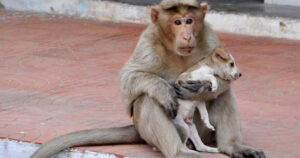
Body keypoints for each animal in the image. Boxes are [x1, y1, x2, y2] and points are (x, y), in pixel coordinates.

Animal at [31, 0, 266, 157]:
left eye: (190, 20)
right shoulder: (148, 40)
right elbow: (130, 78)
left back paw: (230, 146)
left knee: (223, 95)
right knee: (148, 99)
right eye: (177, 22)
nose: (187, 35)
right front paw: (165, 89)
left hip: (198, 130)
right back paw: (179, 151)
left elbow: (222, 84)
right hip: (161, 128)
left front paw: (203, 88)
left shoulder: (209, 36)